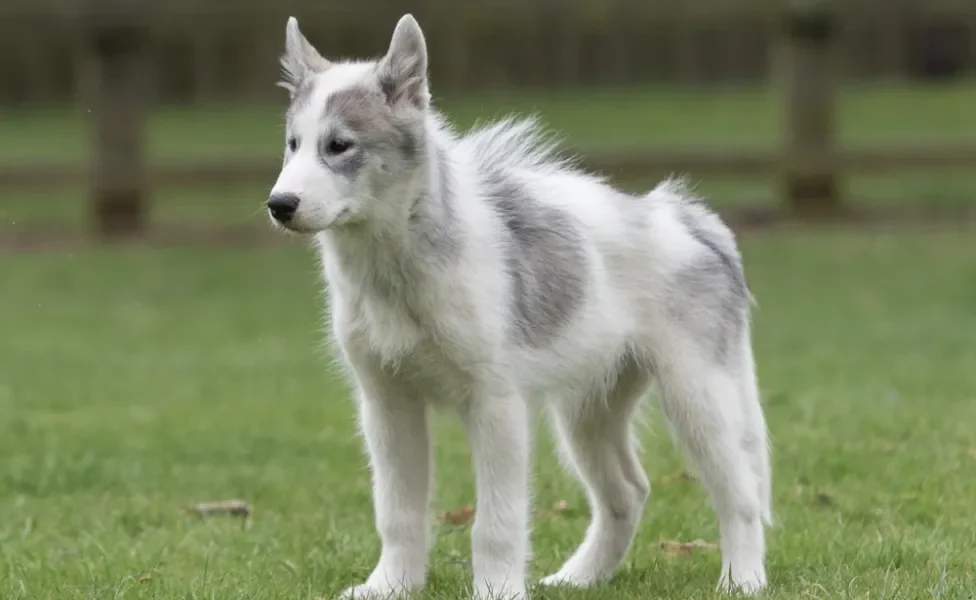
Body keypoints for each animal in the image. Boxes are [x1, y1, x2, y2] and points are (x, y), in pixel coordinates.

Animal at [266, 14, 772, 600]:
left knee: (739, 492)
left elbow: (496, 522)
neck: (397, 267)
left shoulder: (496, 405)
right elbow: (398, 511)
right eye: (293, 144)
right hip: (589, 409)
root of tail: (686, 216)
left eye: (339, 145)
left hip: (699, 395)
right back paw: (581, 576)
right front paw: (390, 585)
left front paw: (497, 589)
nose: (279, 206)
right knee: (627, 491)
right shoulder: (387, 405)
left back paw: (742, 579)